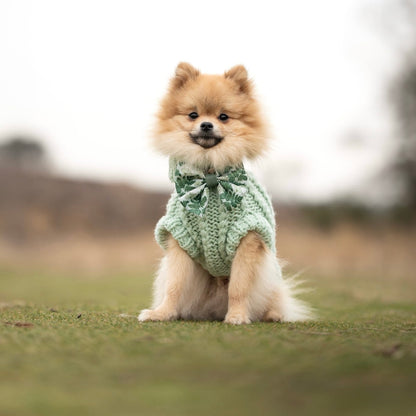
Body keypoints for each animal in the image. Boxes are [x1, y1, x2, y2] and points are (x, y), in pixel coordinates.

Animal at [140, 62, 312, 324]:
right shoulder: (181, 238)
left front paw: (238, 315)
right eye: (193, 115)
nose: (206, 125)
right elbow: (174, 285)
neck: (209, 176)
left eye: (223, 117)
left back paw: (272, 315)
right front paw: (162, 313)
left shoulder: (248, 238)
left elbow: (239, 287)